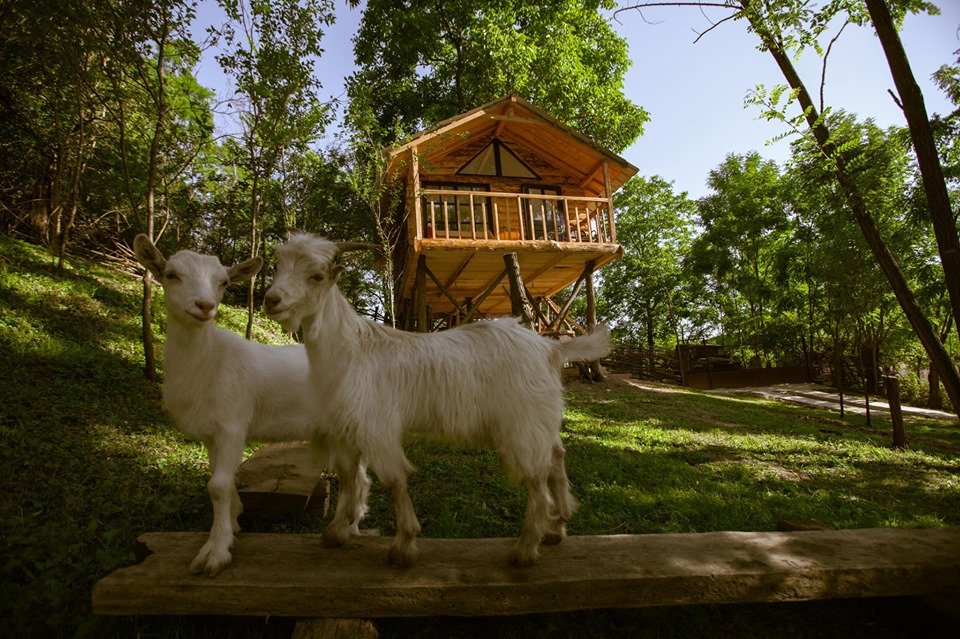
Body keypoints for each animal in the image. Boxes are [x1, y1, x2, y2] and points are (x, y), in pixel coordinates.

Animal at [135, 235, 372, 576]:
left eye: (223, 282)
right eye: (171, 275)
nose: (204, 306)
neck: (210, 362)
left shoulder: (232, 424)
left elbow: (218, 485)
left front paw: (215, 552)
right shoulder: (212, 435)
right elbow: (220, 479)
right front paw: (233, 523)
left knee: (355, 476)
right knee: (355, 475)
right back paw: (349, 527)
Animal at [262, 232, 608, 568]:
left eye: (317, 276)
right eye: (277, 267)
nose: (271, 299)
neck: (352, 348)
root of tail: (551, 349)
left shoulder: (377, 426)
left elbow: (394, 480)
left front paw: (404, 545)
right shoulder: (346, 429)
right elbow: (350, 478)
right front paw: (338, 531)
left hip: (523, 425)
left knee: (537, 479)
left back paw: (525, 549)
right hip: (540, 421)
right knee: (556, 458)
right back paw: (557, 528)